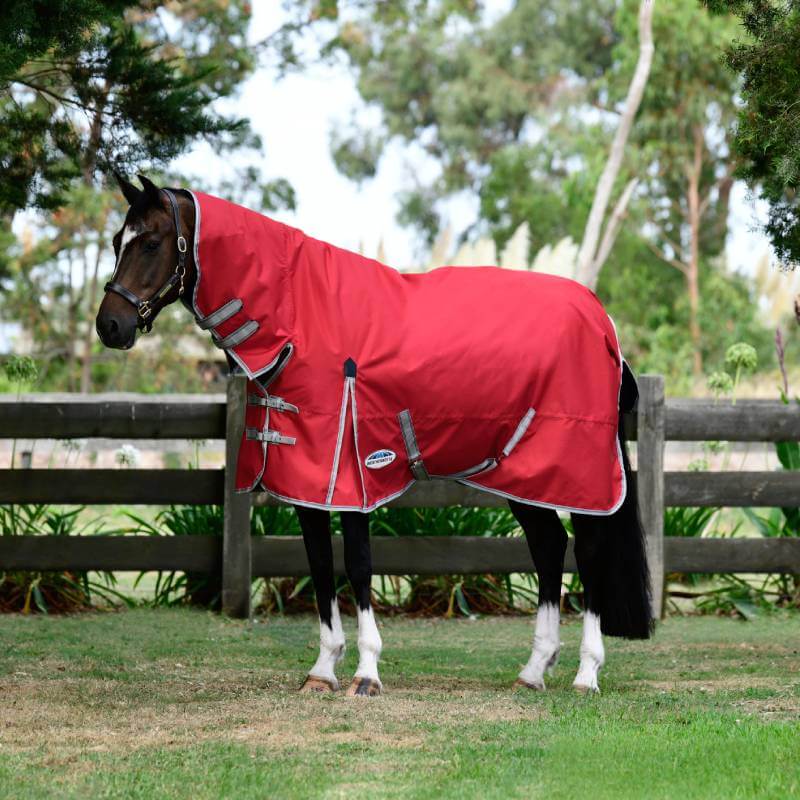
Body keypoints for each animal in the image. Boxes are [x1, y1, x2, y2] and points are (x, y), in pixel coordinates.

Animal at [96, 174, 652, 697]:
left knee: (588, 554)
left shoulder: (352, 475)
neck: (301, 318)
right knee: (549, 547)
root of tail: (602, 322)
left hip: (579, 475)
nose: (110, 326)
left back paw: (585, 674)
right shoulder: (308, 484)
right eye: (117, 241)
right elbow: (321, 567)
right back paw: (533, 671)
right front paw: (322, 670)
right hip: (522, 475)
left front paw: (366, 673)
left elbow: (358, 567)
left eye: (151, 243)